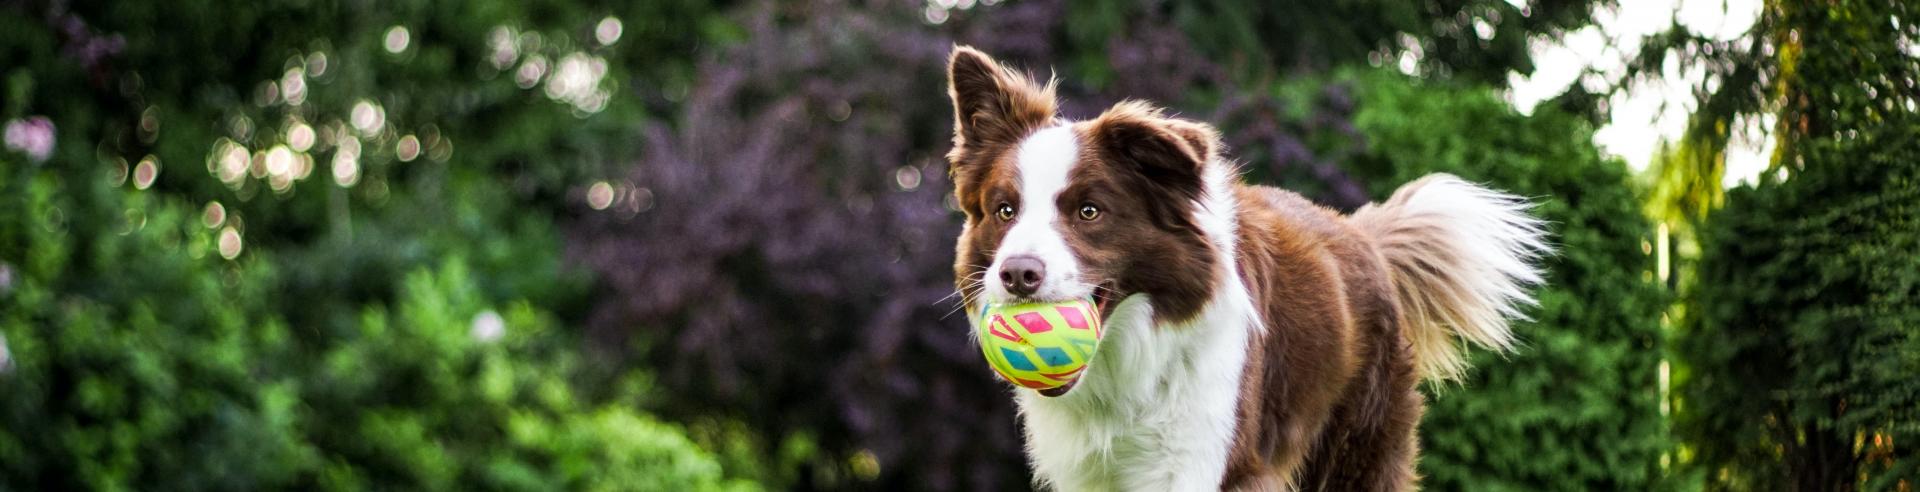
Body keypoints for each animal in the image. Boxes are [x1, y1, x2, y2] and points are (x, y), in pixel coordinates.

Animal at [948, 45, 1559, 488]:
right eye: (1004, 210)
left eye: (1089, 211)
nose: (1017, 275)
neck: (1130, 359)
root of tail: (1360, 233)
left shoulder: (1207, 458)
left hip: (1358, 443)